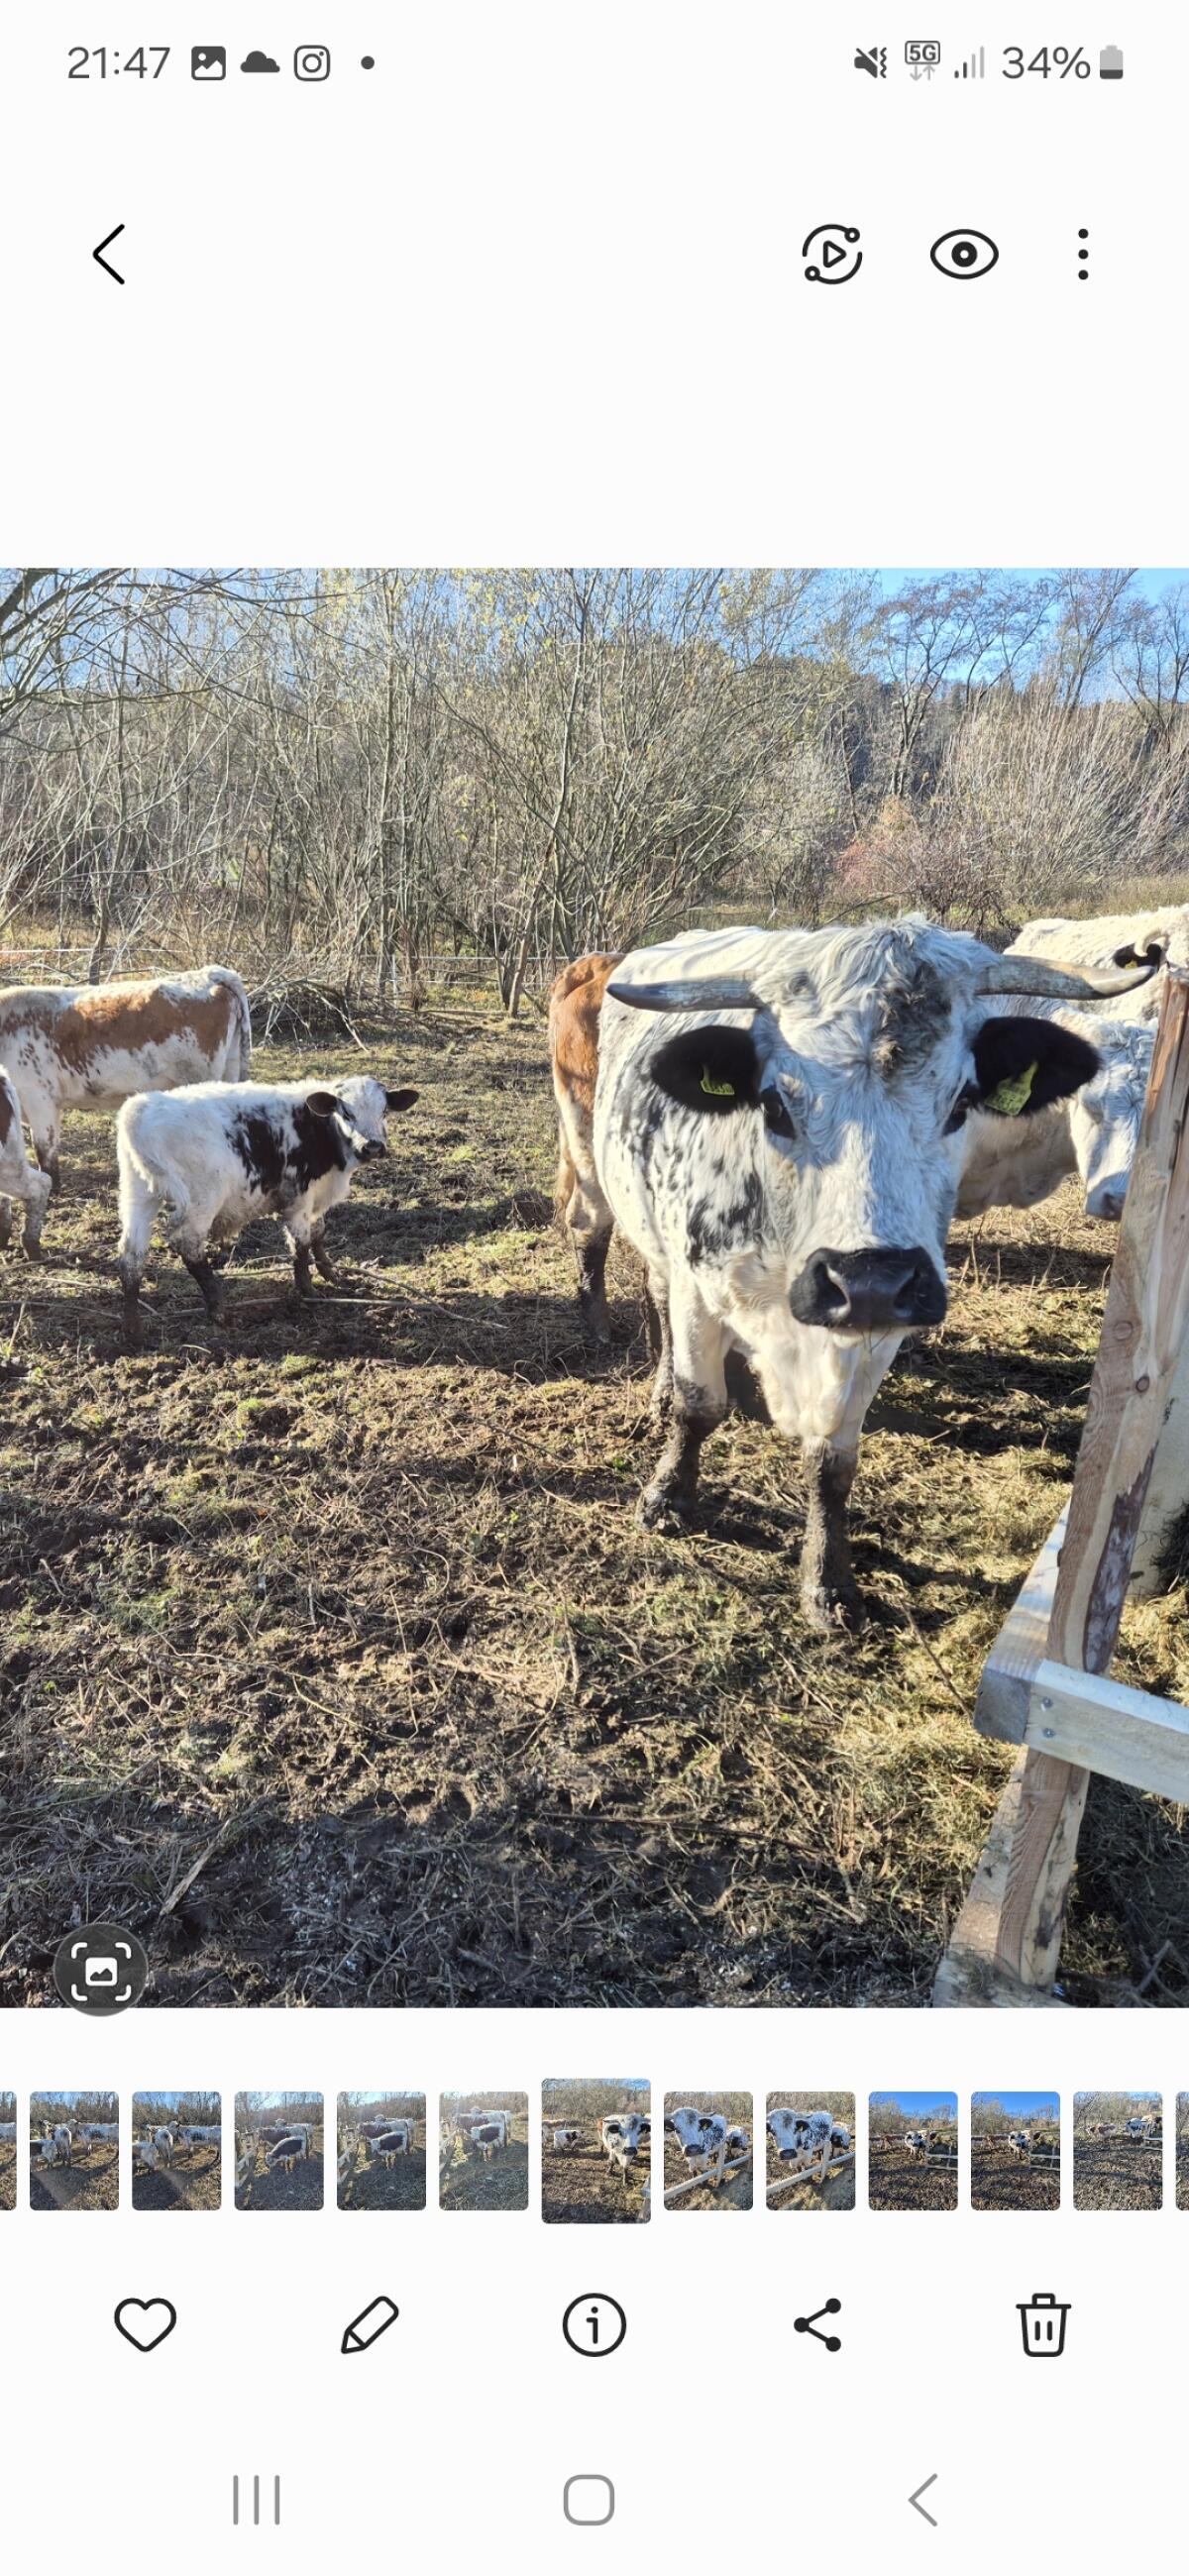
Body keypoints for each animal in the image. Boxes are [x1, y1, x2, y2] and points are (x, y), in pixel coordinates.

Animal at [115, 1073, 418, 1333]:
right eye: (347, 1113)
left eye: (384, 1111)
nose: (373, 1147)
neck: (315, 1127)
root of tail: (141, 1107)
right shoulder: (298, 1198)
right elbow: (301, 1244)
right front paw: (309, 1292)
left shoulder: (316, 1197)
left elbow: (319, 1233)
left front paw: (332, 1275)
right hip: (201, 1201)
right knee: (187, 1244)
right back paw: (219, 1310)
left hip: (137, 1197)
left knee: (131, 1255)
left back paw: (134, 1329)